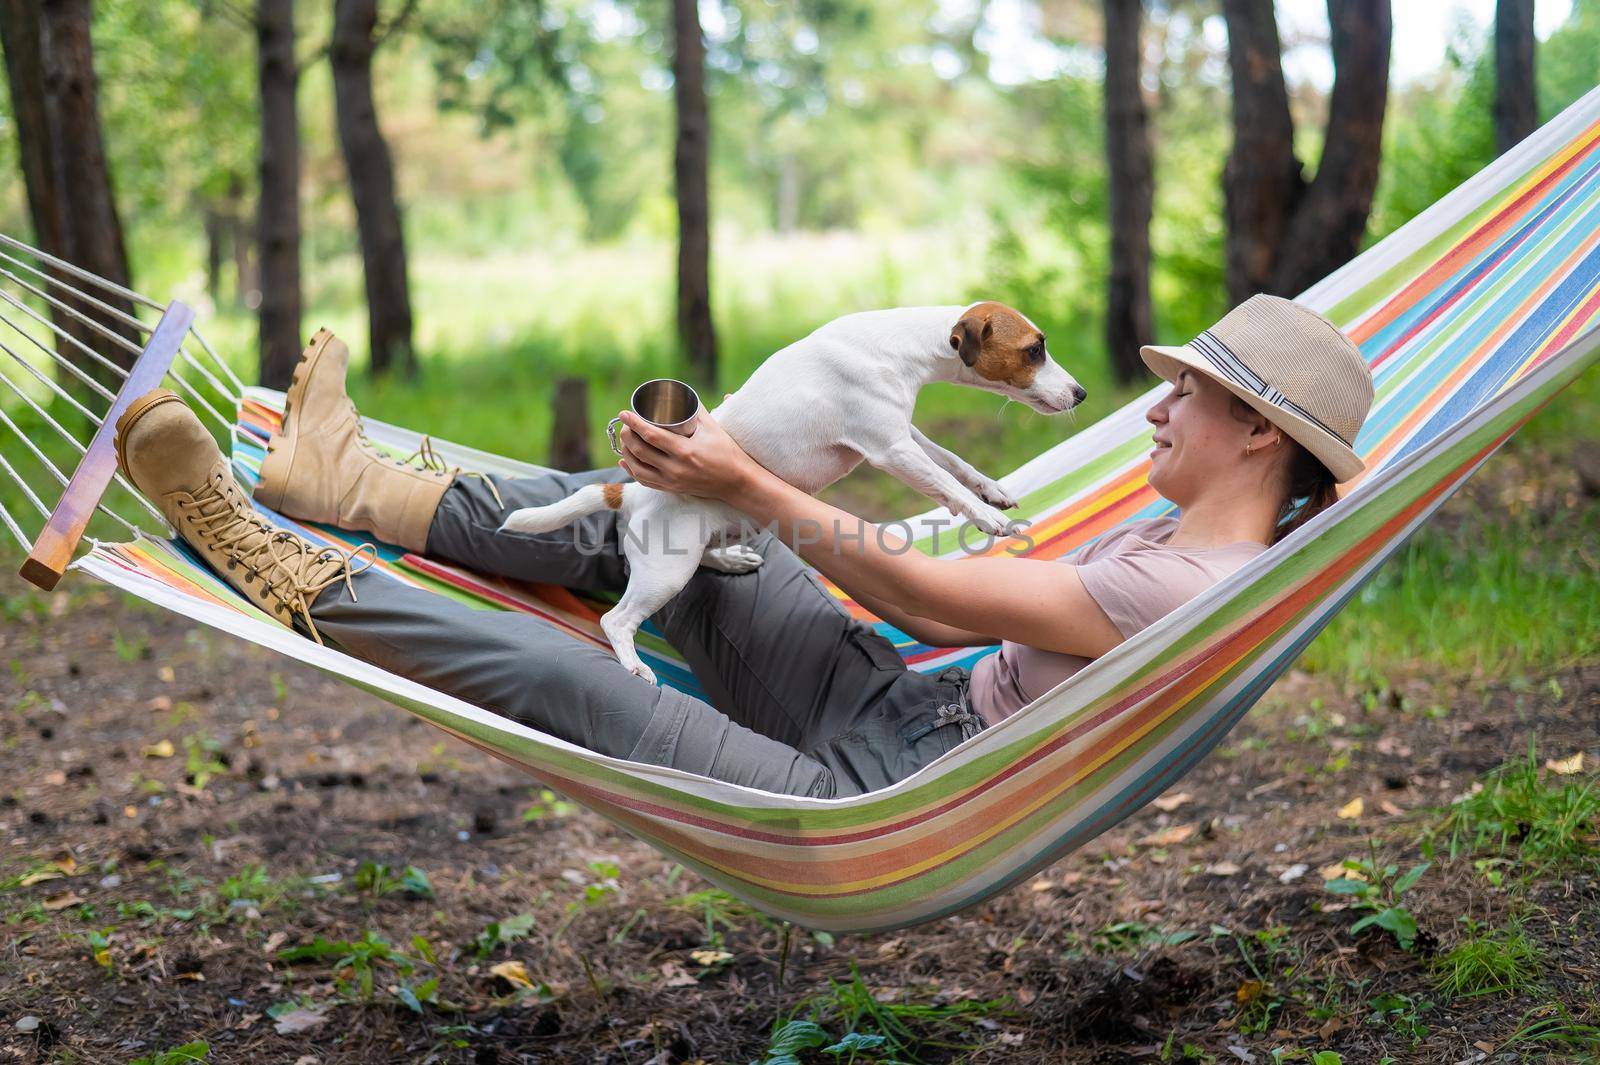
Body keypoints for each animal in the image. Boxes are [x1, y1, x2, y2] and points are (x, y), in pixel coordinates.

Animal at [499, 300, 1088, 681]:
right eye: (1034, 350)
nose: (1081, 392)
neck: (902, 347)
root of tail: (630, 494)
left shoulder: (906, 435)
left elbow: (955, 464)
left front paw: (993, 491)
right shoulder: (891, 448)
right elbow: (945, 484)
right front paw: (986, 518)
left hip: (705, 541)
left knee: (705, 559)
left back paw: (730, 561)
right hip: (665, 572)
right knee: (615, 620)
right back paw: (633, 664)